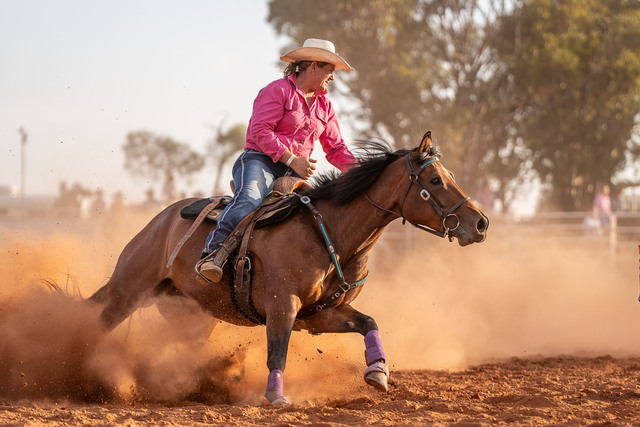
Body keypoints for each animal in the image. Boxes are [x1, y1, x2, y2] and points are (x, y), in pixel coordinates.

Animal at [87, 130, 490, 404]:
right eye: (435, 180)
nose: (481, 223)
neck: (329, 231)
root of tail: (161, 221)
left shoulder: (320, 315)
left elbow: (369, 323)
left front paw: (378, 372)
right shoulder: (284, 305)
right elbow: (276, 351)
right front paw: (276, 397)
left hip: (190, 314)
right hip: (127, 291)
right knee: (100, 323)